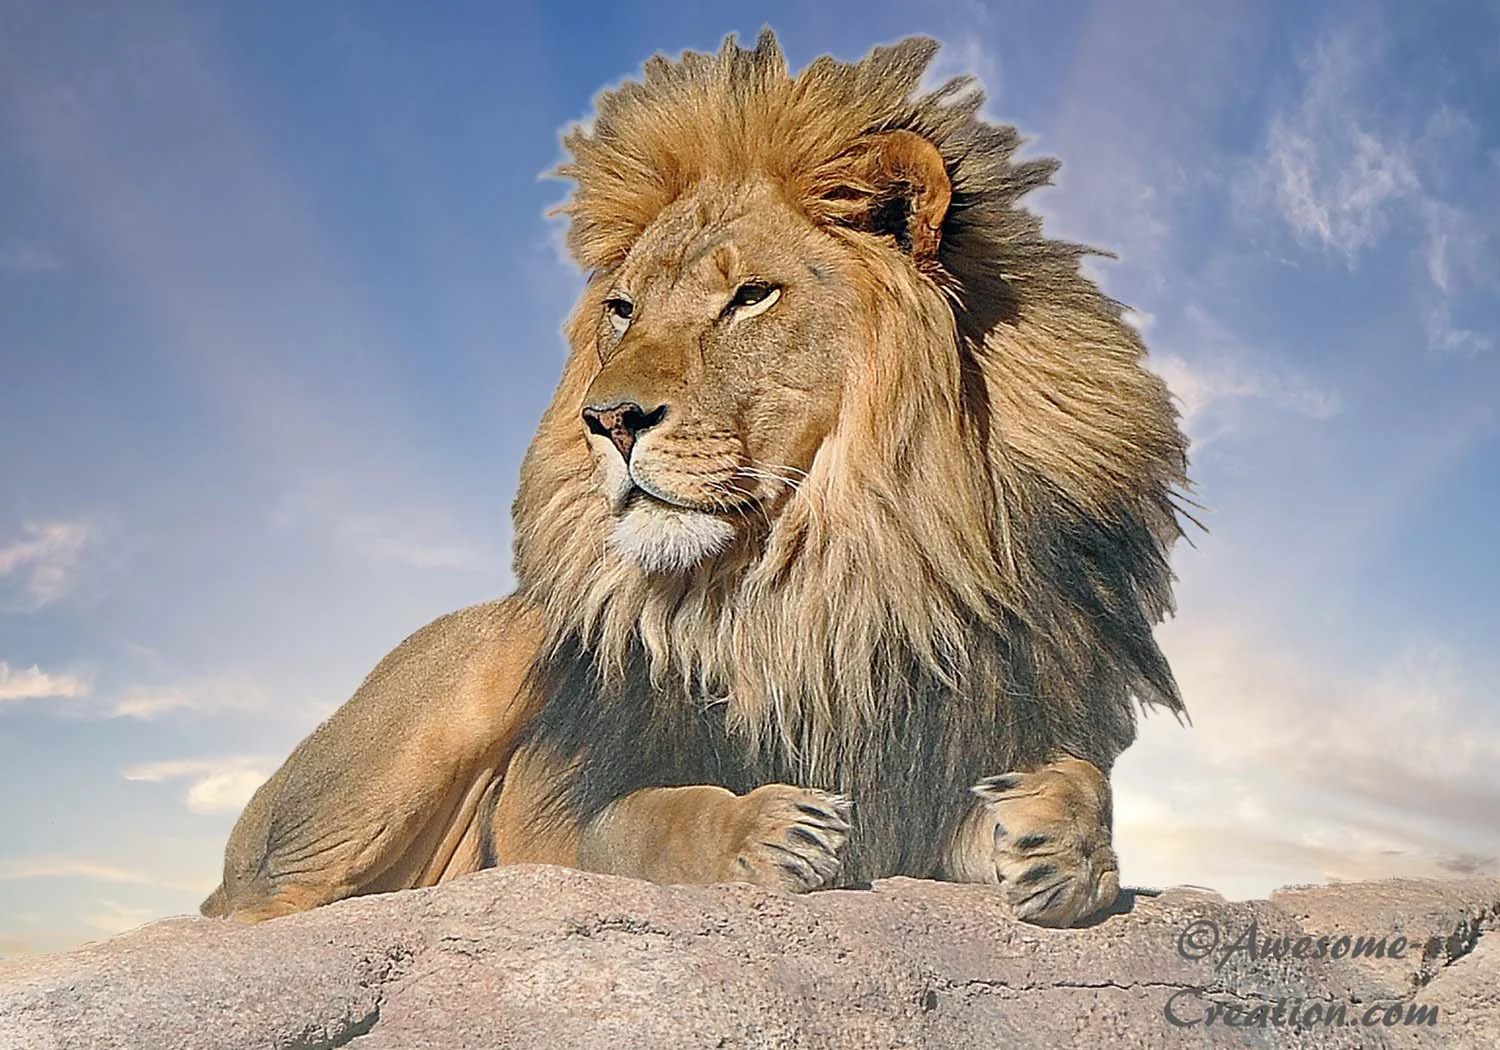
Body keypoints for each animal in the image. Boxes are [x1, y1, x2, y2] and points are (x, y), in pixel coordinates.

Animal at [202, 31, 1190, 929]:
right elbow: (649, 822)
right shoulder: (556, 816)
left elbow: (1086, 784)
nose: (607, 420)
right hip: (478, 670)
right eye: (623, 309)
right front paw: (764, 831)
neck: (830, 580)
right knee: (251, 915)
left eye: (751, 296)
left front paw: (1058, 842)